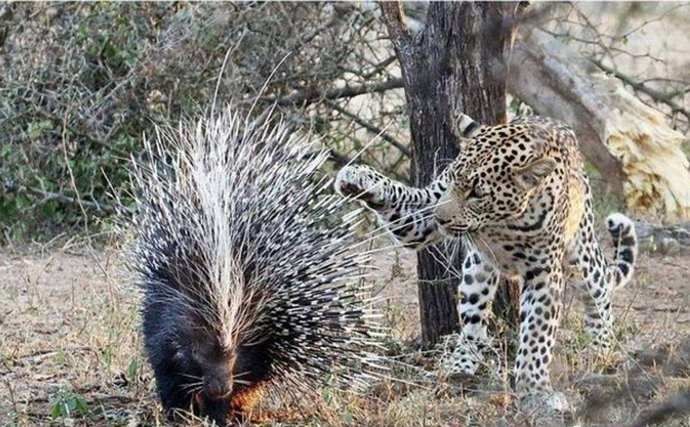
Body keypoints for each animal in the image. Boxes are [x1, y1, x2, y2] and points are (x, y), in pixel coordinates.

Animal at [334, 112, 636, 412]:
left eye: (477, 193)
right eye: (451, 179)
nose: (440, 219)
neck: (502, 222)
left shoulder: (544, 273)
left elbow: (537, 336)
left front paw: (535, 390)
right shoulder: (426, 212)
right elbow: (405, 201)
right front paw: (358, 177)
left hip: (581, 252)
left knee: (598, 291)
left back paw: (603, 352)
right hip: (476, 271)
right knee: (474, 326)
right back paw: (459, 367)